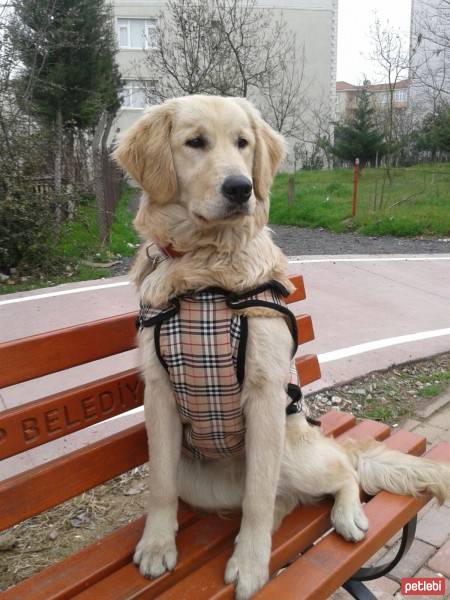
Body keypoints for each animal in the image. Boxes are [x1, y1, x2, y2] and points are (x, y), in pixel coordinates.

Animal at [114, 96, 450, 600]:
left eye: (243, 142)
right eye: (195, 142)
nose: (241, 188)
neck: (204, 279)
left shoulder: (264, 393)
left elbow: (258, 494)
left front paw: (252, 565)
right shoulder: (158, 393)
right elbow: (159, 485)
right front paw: (156, 545)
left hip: (292, 451)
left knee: (337, 472)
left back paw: (344, 516)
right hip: (201, 481)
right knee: (279, 497)